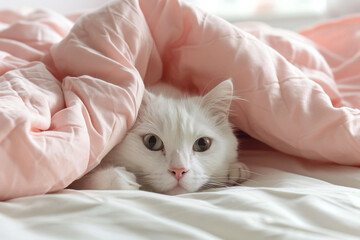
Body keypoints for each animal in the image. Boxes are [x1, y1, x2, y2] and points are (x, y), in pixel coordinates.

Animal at [71, 79, 249, 194]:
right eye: (152, 141)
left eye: (203, 144)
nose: (179, 171)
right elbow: (84, 180)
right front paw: (121, 179)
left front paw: (236, 169)